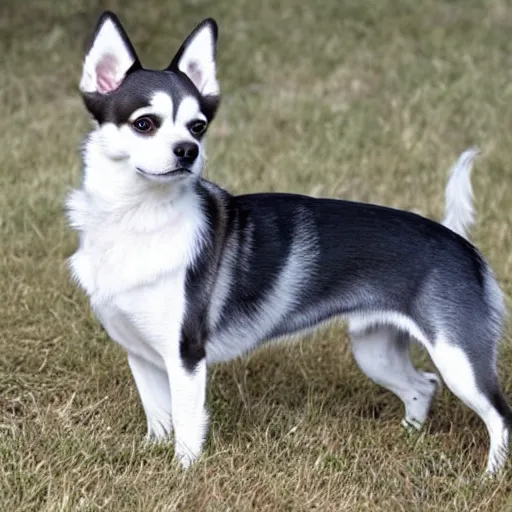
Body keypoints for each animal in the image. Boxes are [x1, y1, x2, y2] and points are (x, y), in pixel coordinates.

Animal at [68, 12, 512, 474]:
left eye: (198, 127)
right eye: (145, 123)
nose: (188, 150)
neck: (137, 219)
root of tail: (457, 240)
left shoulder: (186, 358)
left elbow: (187, 426)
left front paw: (183, 472)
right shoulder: (141, 355)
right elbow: (158, 416)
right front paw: (152, 455)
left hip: (459, 359)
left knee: (500, 416)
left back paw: (489, 476)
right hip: (376, 351)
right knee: (423, 386)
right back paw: (409, 439)